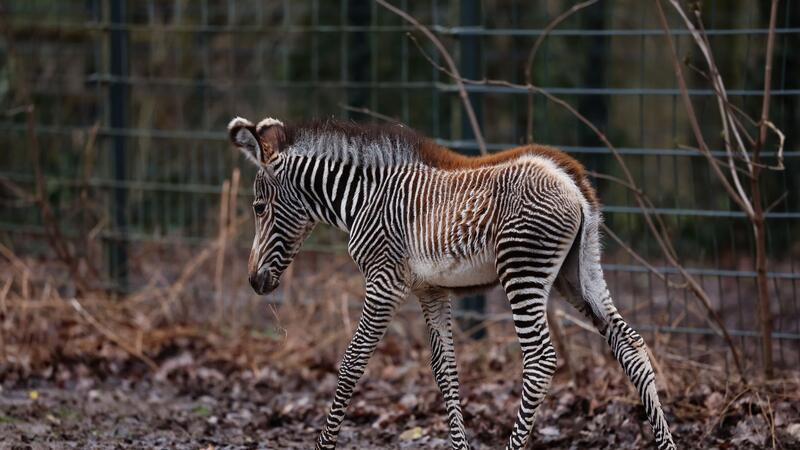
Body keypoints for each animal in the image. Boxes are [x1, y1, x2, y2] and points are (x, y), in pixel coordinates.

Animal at [227, 115, 676, 450]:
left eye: (258, 207)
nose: (253, 281)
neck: (363, 198)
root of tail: (568, 177)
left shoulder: (384, 282)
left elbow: (353, 363)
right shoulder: (431, 290)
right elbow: (445, 371)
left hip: (523, 269)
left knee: (540, 359)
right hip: (580, 274)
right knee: (631, 345)